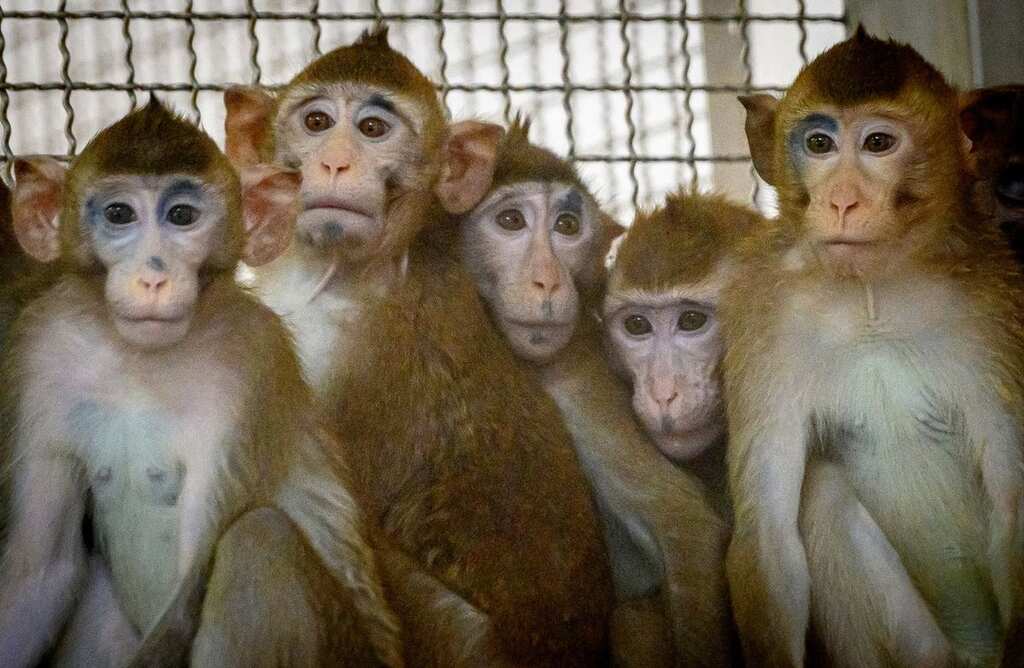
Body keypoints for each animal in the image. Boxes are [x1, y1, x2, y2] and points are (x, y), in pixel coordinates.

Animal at [0, 99, 402, 667]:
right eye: (119, 214)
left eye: (182, 217)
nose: (154, 277)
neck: (138, 362)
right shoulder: (42, 346)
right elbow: (39, 572)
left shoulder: (247, 359)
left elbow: (189, 593)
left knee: (260, 540)